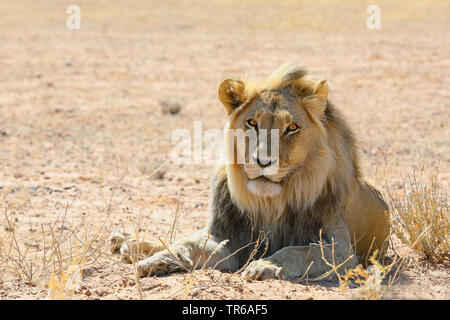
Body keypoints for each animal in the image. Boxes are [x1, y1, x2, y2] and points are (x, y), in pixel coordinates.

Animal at [110, 63, 388, 282]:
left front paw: (266, 265)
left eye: (292, 127)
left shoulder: (341, 250)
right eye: (252, 123)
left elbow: (298, 250)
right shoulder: (226, 240)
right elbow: (185, 243)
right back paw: (127, 243)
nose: (263, 161)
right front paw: (155, 261)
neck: (270, 203)